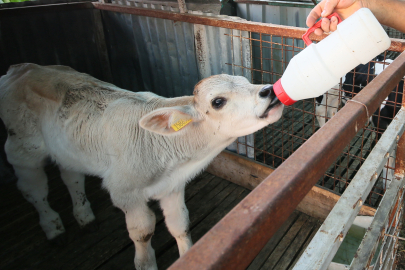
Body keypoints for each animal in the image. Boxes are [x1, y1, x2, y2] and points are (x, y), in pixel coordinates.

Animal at [0, 62, 284, 268]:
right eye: (218, 102)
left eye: (247, 82)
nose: (268, 90)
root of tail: (20, 68)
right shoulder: (125, 193)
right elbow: (143, 233)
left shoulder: (172, 187)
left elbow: (179, 224)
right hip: (23, 146)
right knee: (35, 188)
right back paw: (53, 227)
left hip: (67, 146)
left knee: (71, 175)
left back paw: (84, 216)